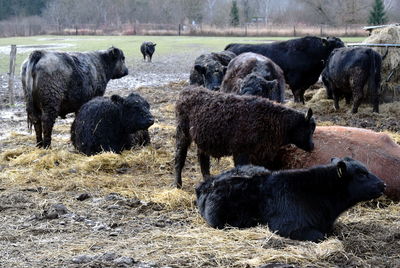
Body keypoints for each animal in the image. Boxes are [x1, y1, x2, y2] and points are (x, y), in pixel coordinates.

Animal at [174, 87, 316, 187]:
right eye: (309, 128)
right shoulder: (241, 152)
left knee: (203, 160)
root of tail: (186, 91)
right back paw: (178, 185)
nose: (313, 146)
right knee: (179, 158)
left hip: (203, 141)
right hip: (182, 134)